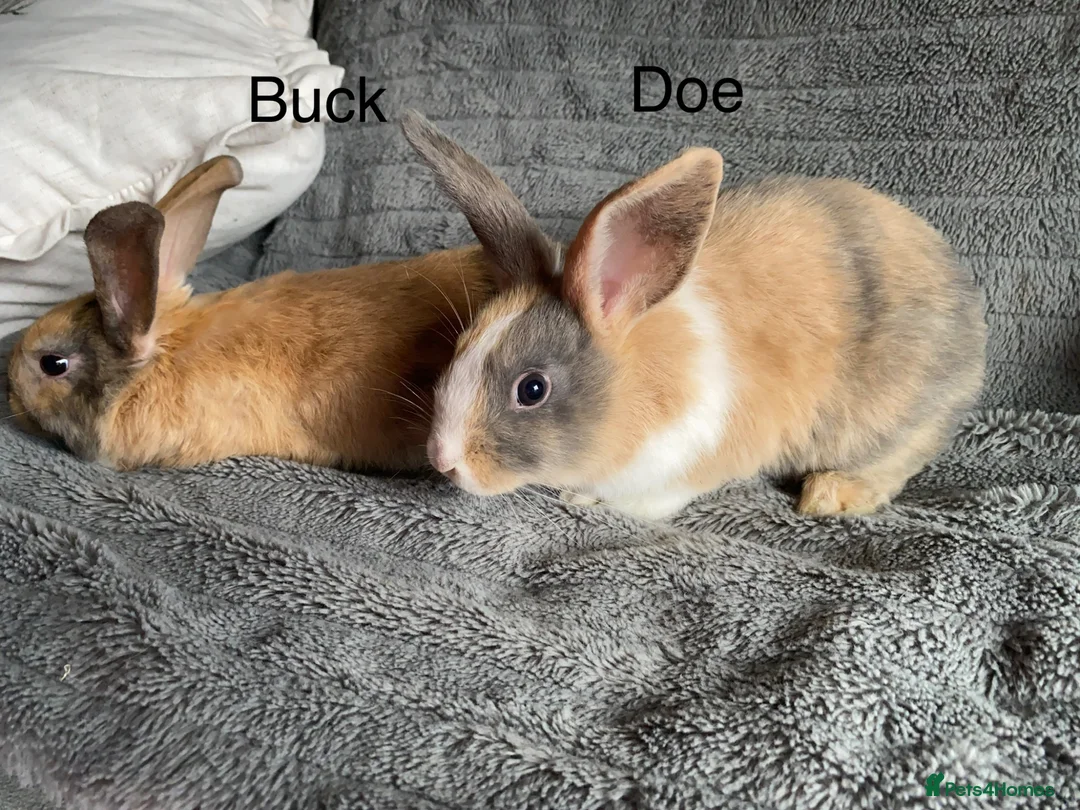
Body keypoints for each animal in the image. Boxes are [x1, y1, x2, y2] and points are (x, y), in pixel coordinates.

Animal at [399, 110, 987, 520]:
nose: (443, 459)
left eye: (532, 389)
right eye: (458, 348)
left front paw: (582, 499)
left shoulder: (687, 461)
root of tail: (971, 310)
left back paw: (828, 495)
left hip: (889, 419)